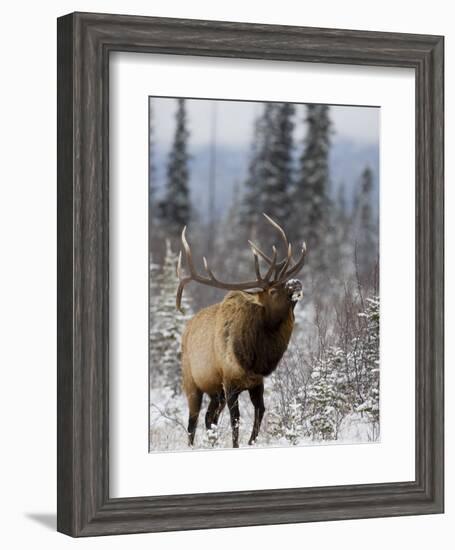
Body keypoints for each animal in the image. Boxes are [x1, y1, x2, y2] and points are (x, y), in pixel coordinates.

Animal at [176, 213, 308, 450]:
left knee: (209, 418)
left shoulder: (256, 382)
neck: (255, 357)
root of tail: (186, 330)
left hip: (215, 392)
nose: (296, 283)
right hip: (191, 382)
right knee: (193, 421)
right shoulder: (230, 382)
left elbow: (260, 412)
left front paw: (251, 442)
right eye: (272, 290)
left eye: (285, 281)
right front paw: (237, 445)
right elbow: (236, 420)